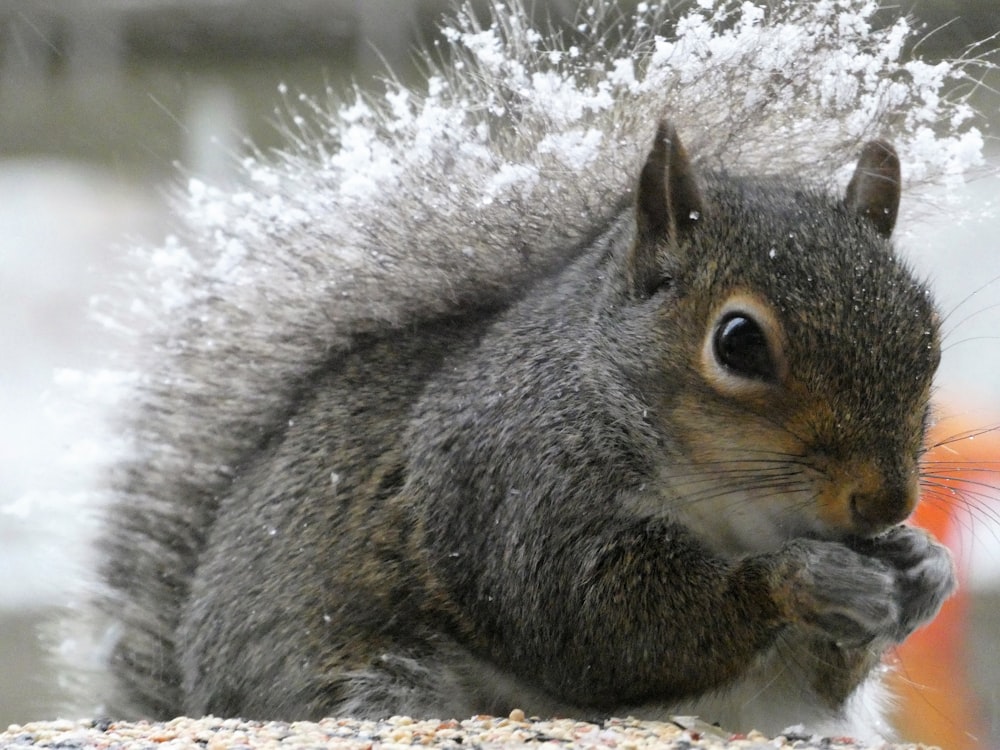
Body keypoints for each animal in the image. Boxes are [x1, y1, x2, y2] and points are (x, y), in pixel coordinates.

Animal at [86, 0, 976, 744]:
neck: (740, 503)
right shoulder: (517, 490)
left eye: (929, 338)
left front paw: (924, 569)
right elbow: (595, 620)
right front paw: (800, 577)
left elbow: (825, 673)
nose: (887, 502)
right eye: (738, 343)